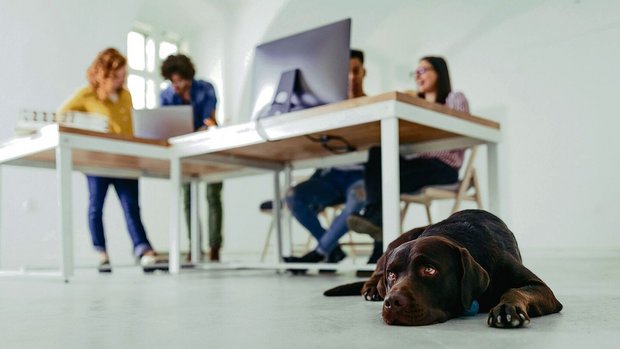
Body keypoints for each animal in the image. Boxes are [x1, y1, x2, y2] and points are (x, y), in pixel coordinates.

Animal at [326, 209, 564, 326]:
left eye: (430, 270)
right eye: (392, 274)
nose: (391, 302)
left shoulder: (539, 286)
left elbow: (515, 290)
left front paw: (506, 309)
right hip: (400, 240)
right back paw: (372, 289)